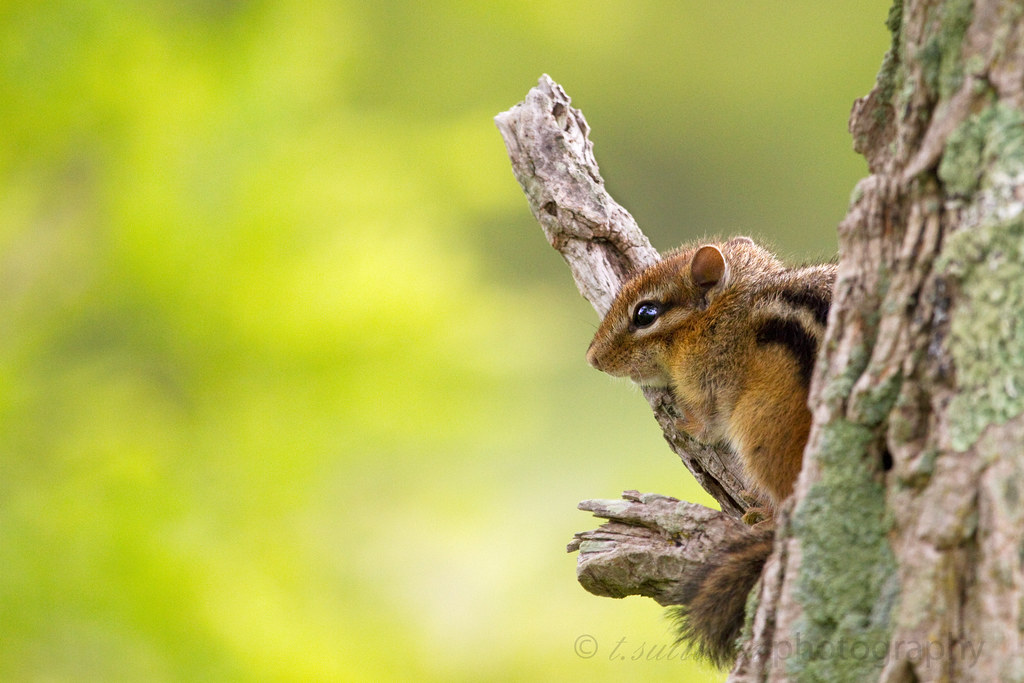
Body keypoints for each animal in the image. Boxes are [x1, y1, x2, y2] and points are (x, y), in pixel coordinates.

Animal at [585, 236, 836, 667]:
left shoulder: (707, 381)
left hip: (760, 426)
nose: (593, 359)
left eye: (645, 314)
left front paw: (682, 424)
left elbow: (705, 424)